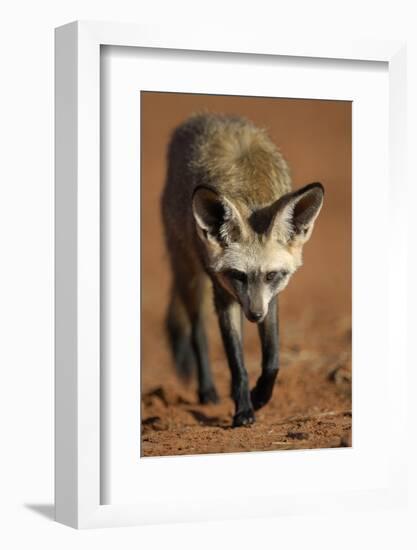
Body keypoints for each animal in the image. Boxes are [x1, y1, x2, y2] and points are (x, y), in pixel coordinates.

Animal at [161, 114, 324, 430]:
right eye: (238, 275)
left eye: (272, 275)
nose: (255, 315)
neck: (251, 192)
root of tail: (203, 117)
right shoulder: (223, 293)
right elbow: (236, 363)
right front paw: (244, 410)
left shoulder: (271, 297)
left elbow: (273, 359)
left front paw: (260, 396)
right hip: (189, 274)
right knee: (197, 331)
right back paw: (207, 390)